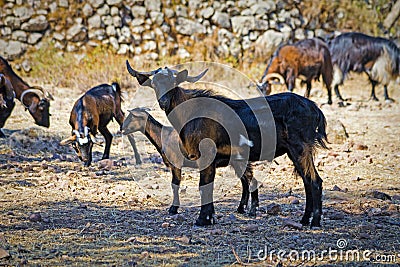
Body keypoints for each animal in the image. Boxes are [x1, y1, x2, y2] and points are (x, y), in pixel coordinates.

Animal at [122, 108, 260, 217]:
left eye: (131, 117)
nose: (121, 128)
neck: (163, 136)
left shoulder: (176, 163)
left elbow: (175, 185)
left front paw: (173, 209)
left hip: (239, 161)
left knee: (250, 180)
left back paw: (252, 211)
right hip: (239, 162)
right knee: (245, 181)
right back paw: (241, 208)